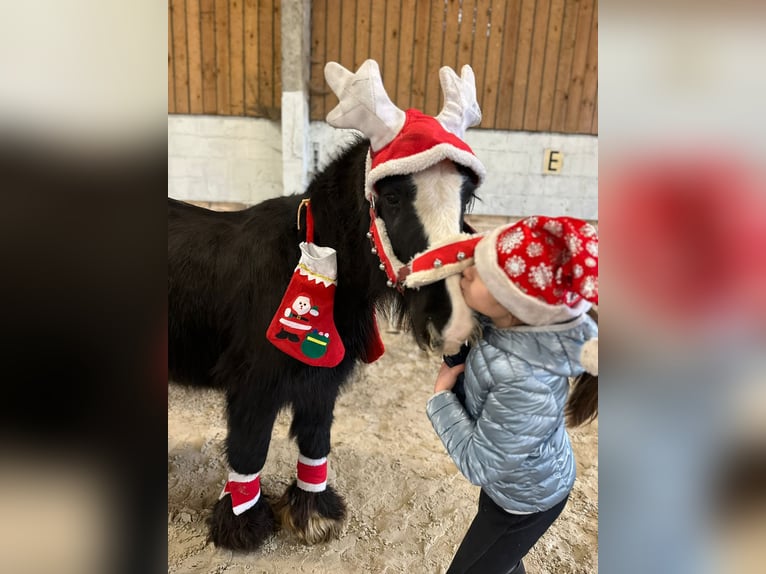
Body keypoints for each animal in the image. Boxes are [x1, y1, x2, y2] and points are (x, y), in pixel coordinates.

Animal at [170, 60, 488, 552]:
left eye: (467, 194)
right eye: (391, 197)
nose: (458, 316)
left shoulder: (321, 381)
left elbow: (316, 440)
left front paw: (312, 514)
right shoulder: (253, 387)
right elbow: (248, 451)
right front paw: (241, 526)